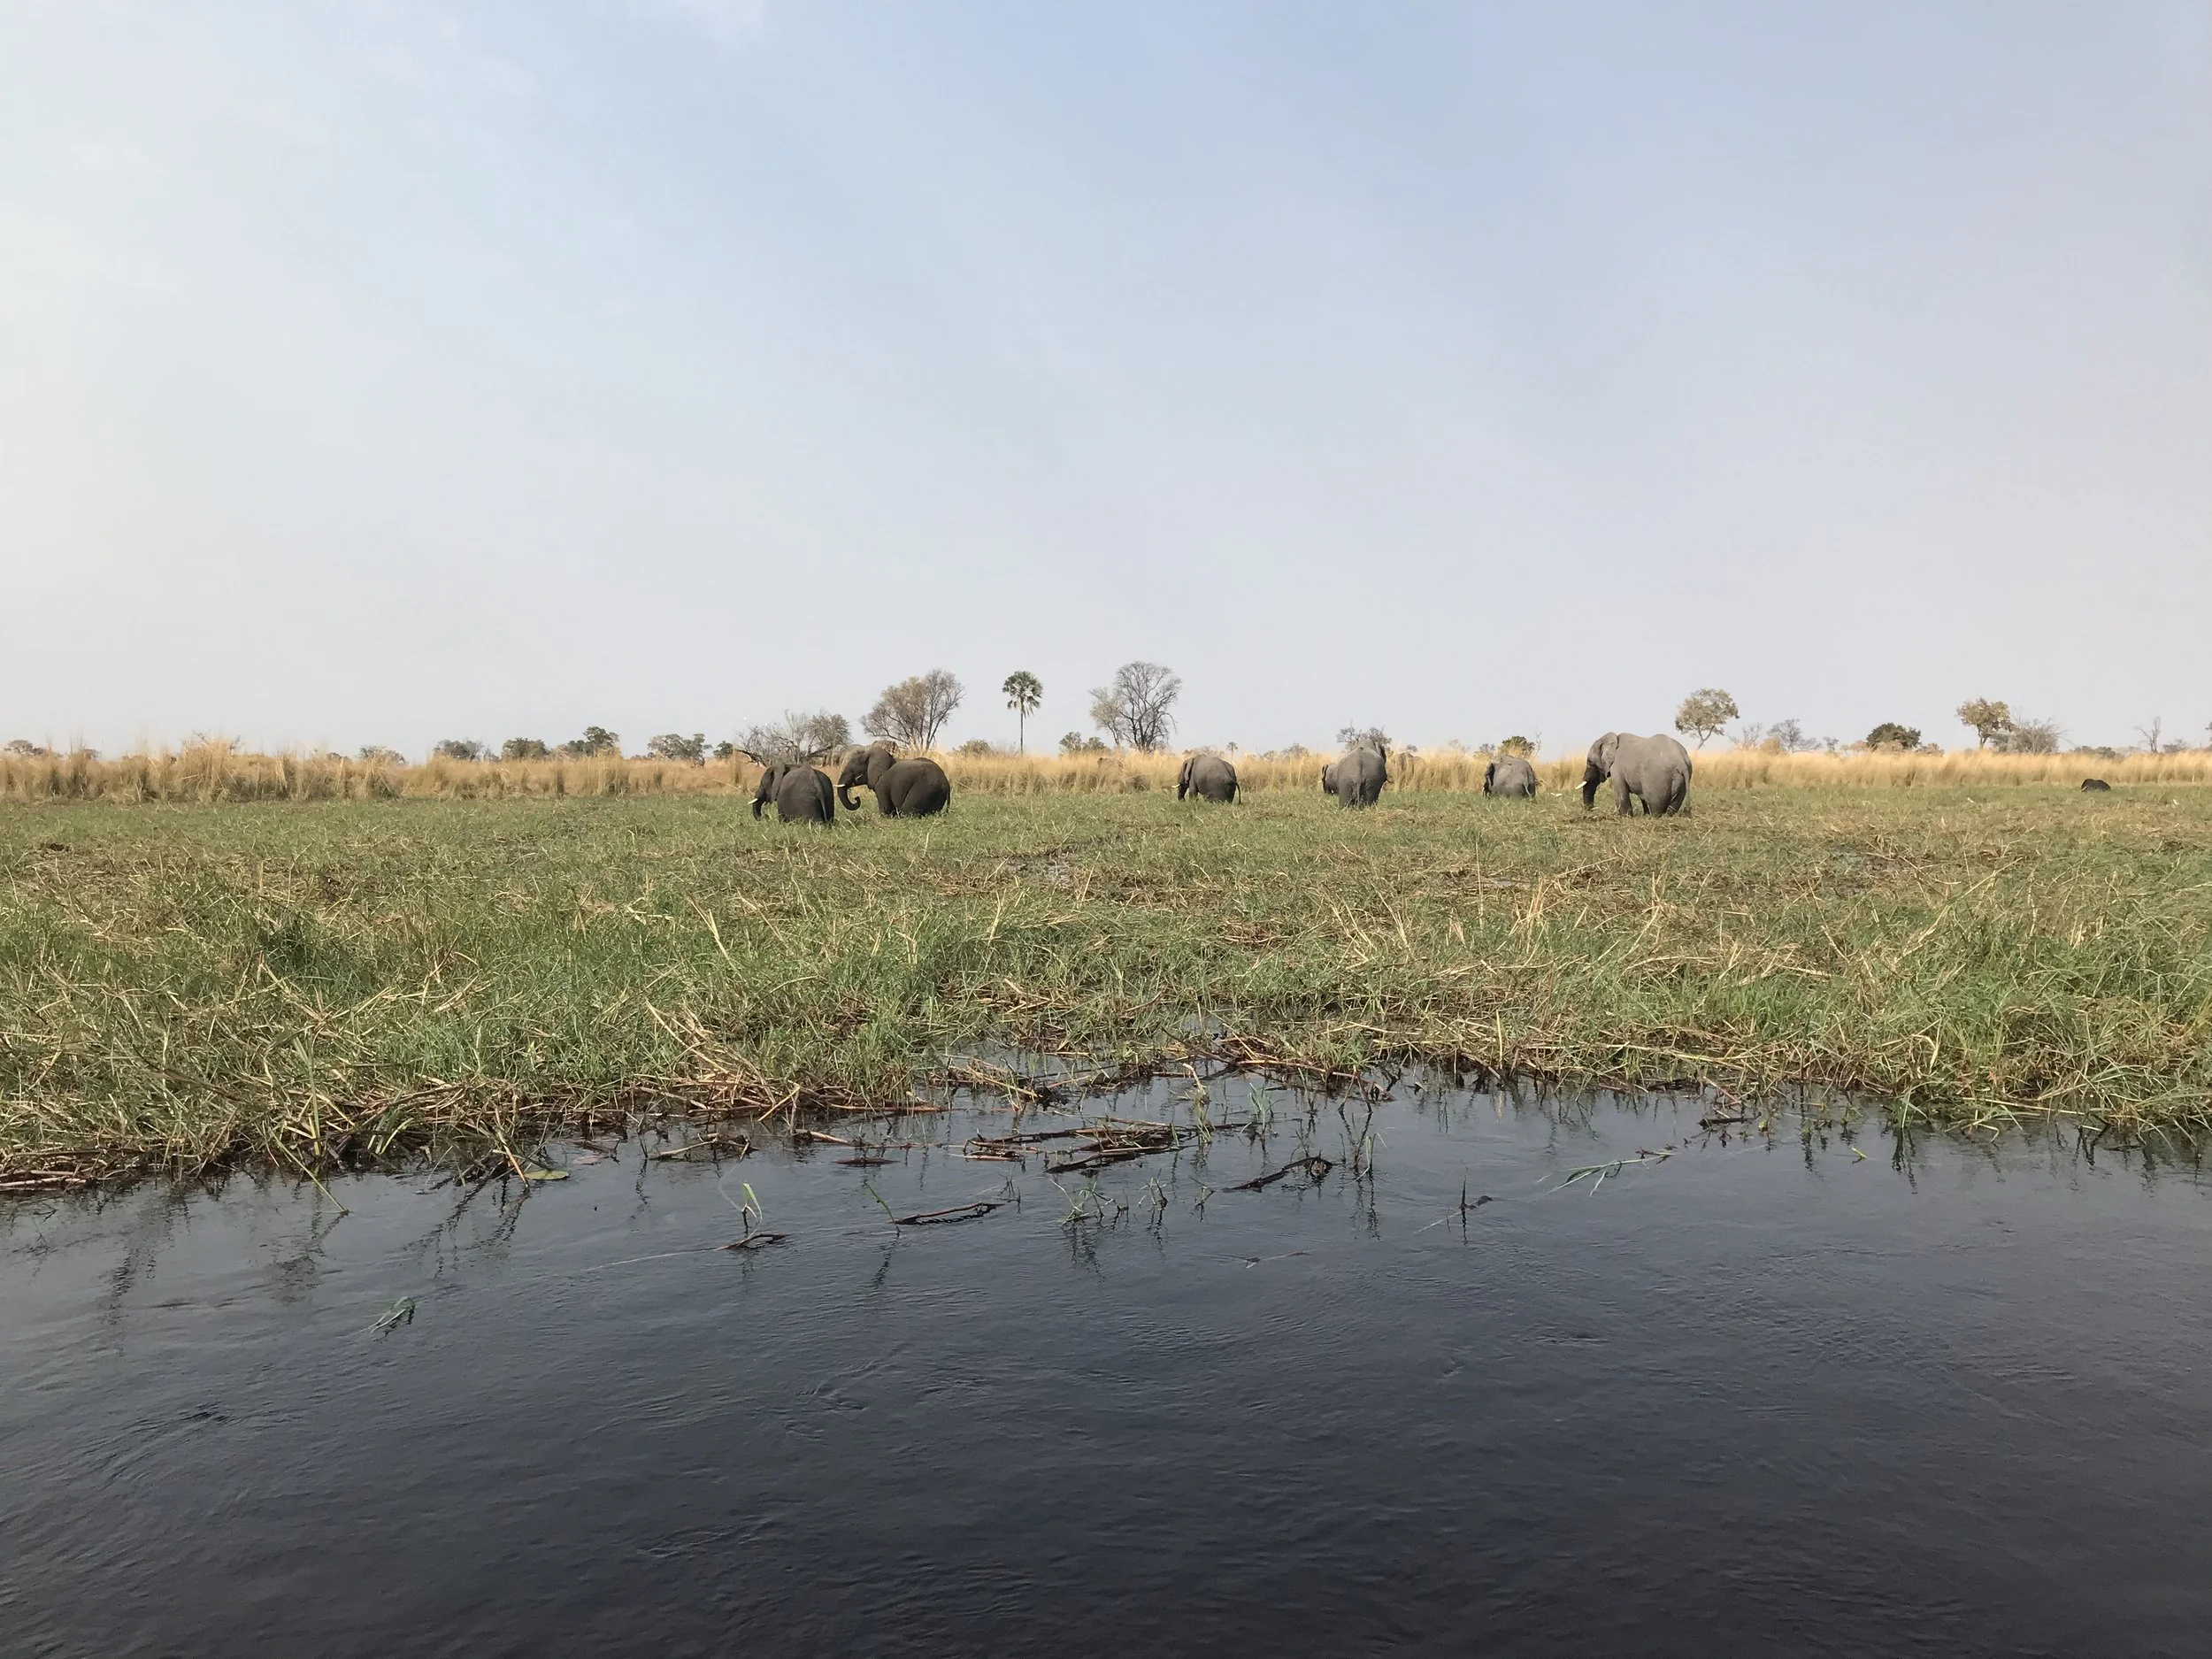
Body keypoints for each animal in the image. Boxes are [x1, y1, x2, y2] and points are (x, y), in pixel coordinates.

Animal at [836, 742, 952, 817]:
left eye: (852, 770)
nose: (856, 798)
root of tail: (946, 784)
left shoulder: (881, 785)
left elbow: (885, 809)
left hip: (924, 789)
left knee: (907, 812)